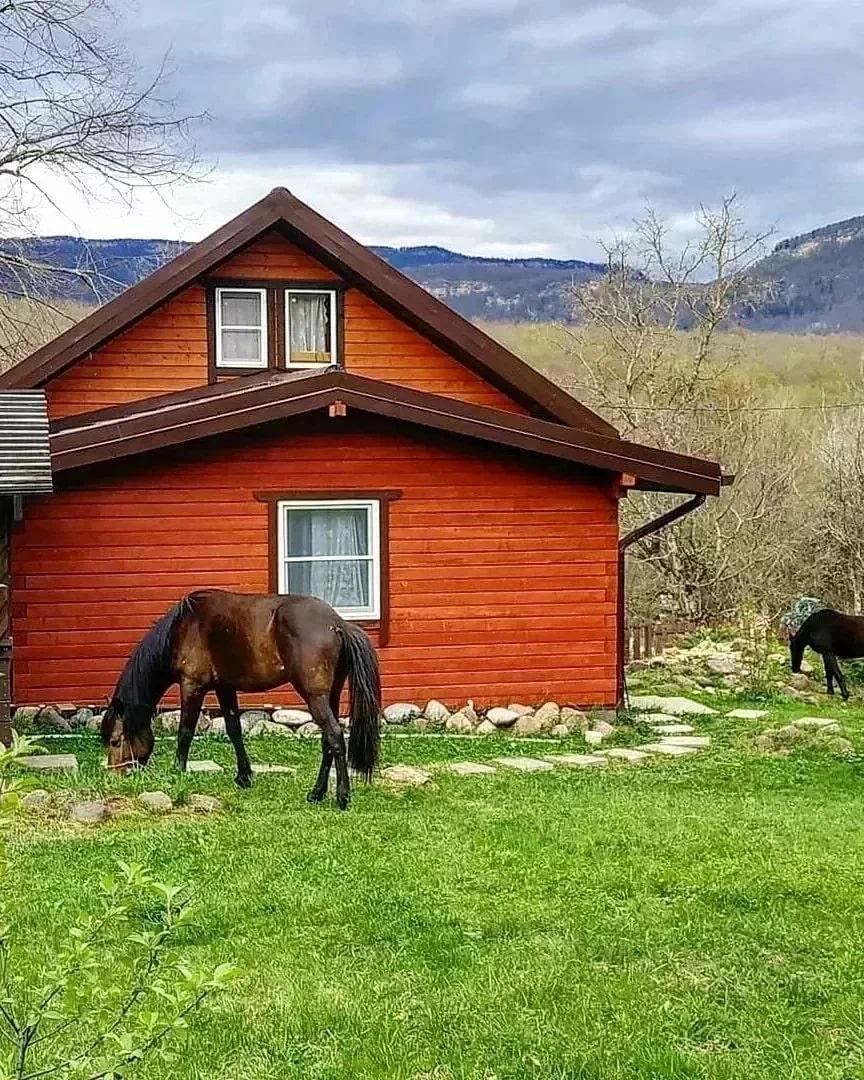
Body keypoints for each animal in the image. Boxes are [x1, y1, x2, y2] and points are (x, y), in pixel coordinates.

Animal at [103, 591, 380, 812]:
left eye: (116, 741)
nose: (116, 775)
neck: (182, 627)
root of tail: (338, 624)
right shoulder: (224, 687)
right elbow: (234, 730)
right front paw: (244, 776)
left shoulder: (192, 685)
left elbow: (185, 732)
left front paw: (177, 771)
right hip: (330, 694)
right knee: (327, 742)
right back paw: (317, 793)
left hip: (315, 696)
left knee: (334, 736)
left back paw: (342, 797)